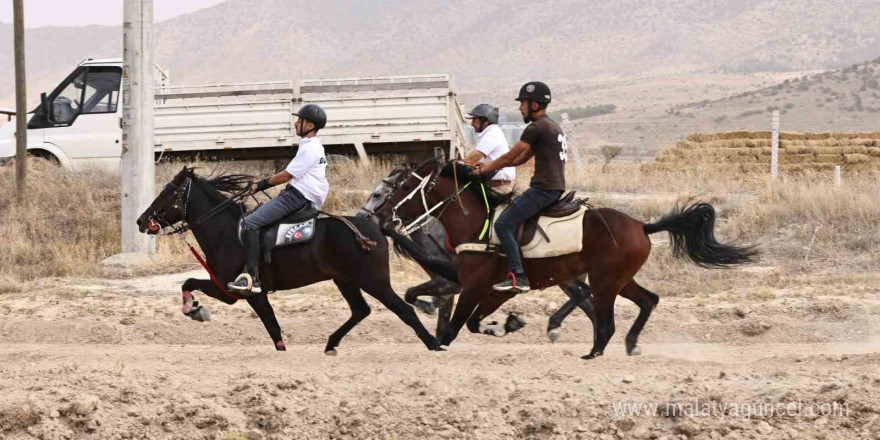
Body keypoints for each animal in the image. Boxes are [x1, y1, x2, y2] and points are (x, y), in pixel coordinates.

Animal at [376, 160, 756, 360]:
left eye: (398, 189)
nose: (381, 218)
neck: (478, 226)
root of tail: (642, 225)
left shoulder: (476, 286)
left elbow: (455, 327)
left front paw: (440, 343)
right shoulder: (496, 291)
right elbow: (471, 323)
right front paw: (508, 324)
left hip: (605, 281)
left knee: (606, 319)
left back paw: (594, 352)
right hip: (619, 280)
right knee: (648, 300)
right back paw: (629, 344)